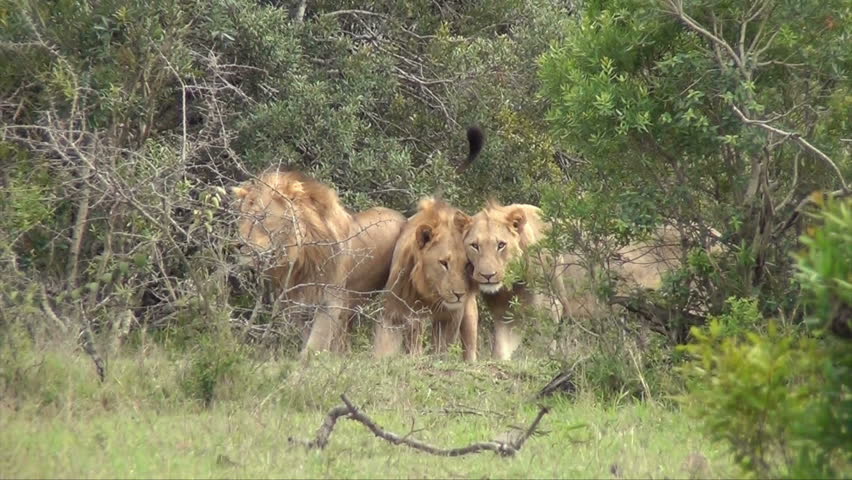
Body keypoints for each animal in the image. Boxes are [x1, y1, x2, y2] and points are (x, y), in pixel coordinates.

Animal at [232, 169, 405, 356]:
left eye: (261, 216)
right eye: (242, 218)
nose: (238, 245)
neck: (302, 255)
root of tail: (401, 215)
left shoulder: (330, 301)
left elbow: (314, 345)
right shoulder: (300, 305)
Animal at [373, 197, 479, 362]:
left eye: (467, 264)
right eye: (444, 263)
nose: (459, 294)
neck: (429, 292)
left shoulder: (451, 316)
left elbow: (443, 346)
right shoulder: (395, 312)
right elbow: (388, 343)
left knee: (469, 342)